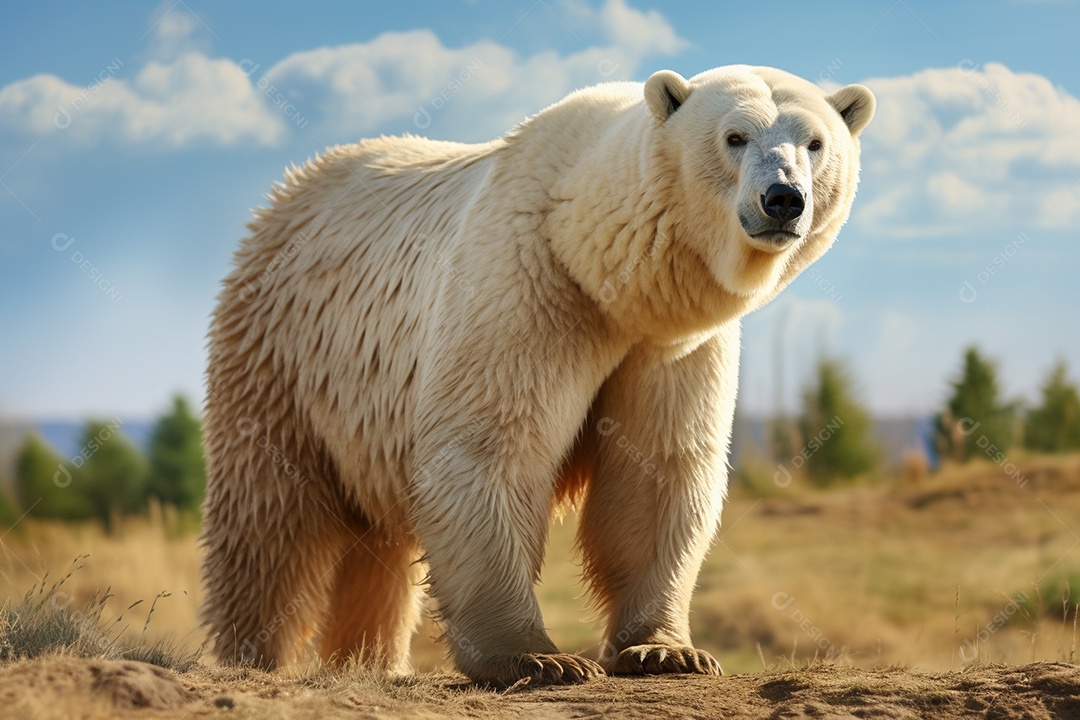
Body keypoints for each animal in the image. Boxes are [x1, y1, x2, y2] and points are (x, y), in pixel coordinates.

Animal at [199, 64, 875, 687]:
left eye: (815, 142)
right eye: (735, 136)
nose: (783, 198)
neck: (600, 267)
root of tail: (289, 190)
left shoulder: (672, 347)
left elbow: (657, 468)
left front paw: (666, 651)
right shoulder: (527, 286)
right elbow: (491, 446)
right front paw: (539, 658)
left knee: (374, 548)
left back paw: (372, 662)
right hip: (283, 350)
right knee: (268, 514)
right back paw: (251, 655)